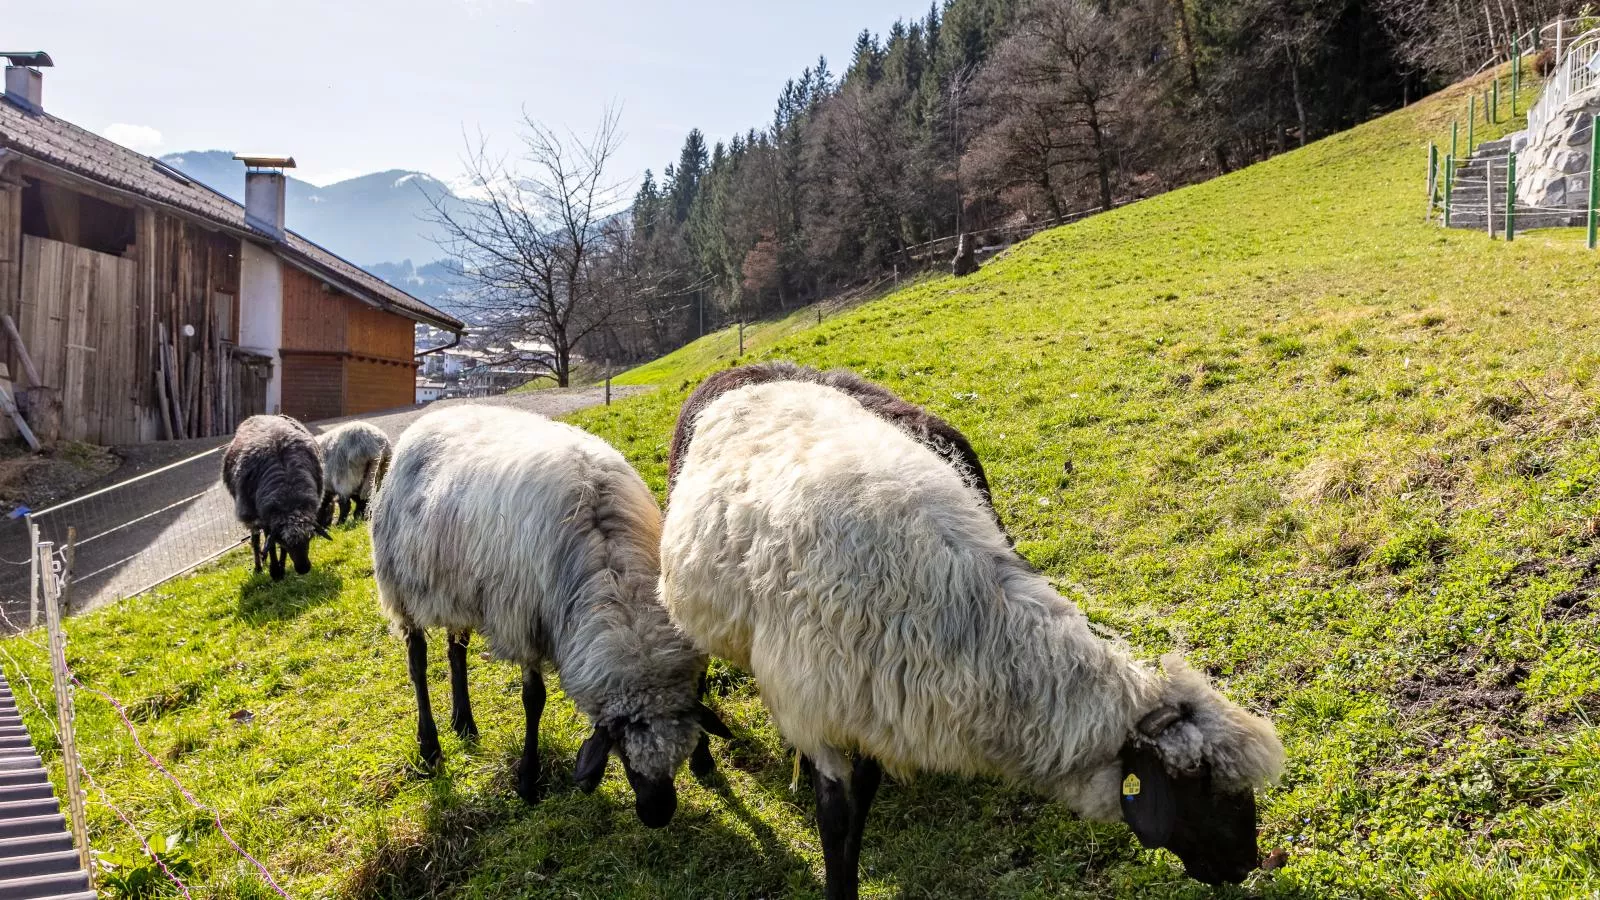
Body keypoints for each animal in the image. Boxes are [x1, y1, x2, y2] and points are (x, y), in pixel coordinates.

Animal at [222, 416, 328, 582]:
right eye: (283, 540)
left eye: (310, 537)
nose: (303, 569)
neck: (289, 497)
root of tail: (260, 416)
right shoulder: (265, 518)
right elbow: (270, 543)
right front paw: (275, 571)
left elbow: (277, 547)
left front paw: (282, 568)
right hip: (251, 513)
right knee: (256, 540)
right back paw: (258, 567)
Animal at [371, 403, 729, 826]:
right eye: (623, 751)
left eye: (679, 752)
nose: (657, 814)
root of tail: (430, 417)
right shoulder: (526, 620)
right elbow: (534, 699)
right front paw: (528, 781)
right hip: (401, 584)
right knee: (418, 661)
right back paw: (430, 748)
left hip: (456, 586)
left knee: (455, 649)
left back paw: (465, 723)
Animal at [662, 379, 1286, 896]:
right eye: (1202, 788)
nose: (1244, 866)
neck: (965, 619)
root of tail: (750, 382)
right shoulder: (820, 709)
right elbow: (836, 824)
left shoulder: (878, 704)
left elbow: (862, 798)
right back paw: (703, 761)